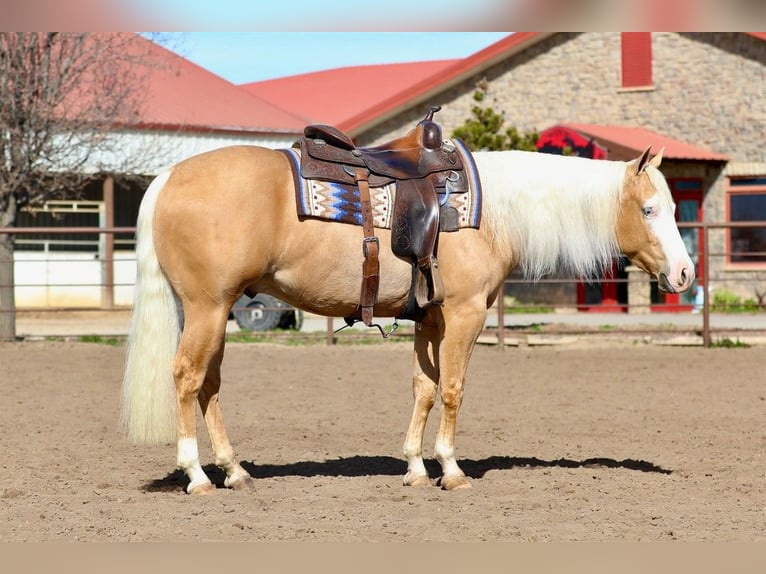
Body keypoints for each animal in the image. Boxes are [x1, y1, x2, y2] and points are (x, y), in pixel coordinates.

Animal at [120, 143, 694, 494]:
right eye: (650, 210)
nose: (686, 274)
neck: (487, 213)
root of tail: (168, 177)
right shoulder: (464, 313)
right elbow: (454, 388)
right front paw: (452, 469)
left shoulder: (430, 319)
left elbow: (424, 387)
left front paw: (416, 467)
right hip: (207, 309)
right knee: (187, 378)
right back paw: (197, 475)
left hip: (213, 313)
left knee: (210, 385)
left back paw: (235, 471)